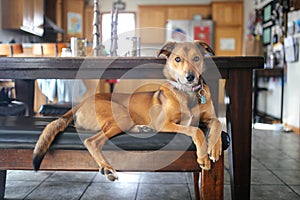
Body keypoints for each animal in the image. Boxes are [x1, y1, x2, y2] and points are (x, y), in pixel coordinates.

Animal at [33, 40, 223, 181]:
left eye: (196, 58)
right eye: (177, 59)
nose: (190, 77)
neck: (188, 93)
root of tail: (81, 103)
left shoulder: (210, 118)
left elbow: (218, 123)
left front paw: (214, 147)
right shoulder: (164, 123)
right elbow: (197, 130)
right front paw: (203, 156)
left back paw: (143, 129)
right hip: (121, 116)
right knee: (91, 141)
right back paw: (107, 168)